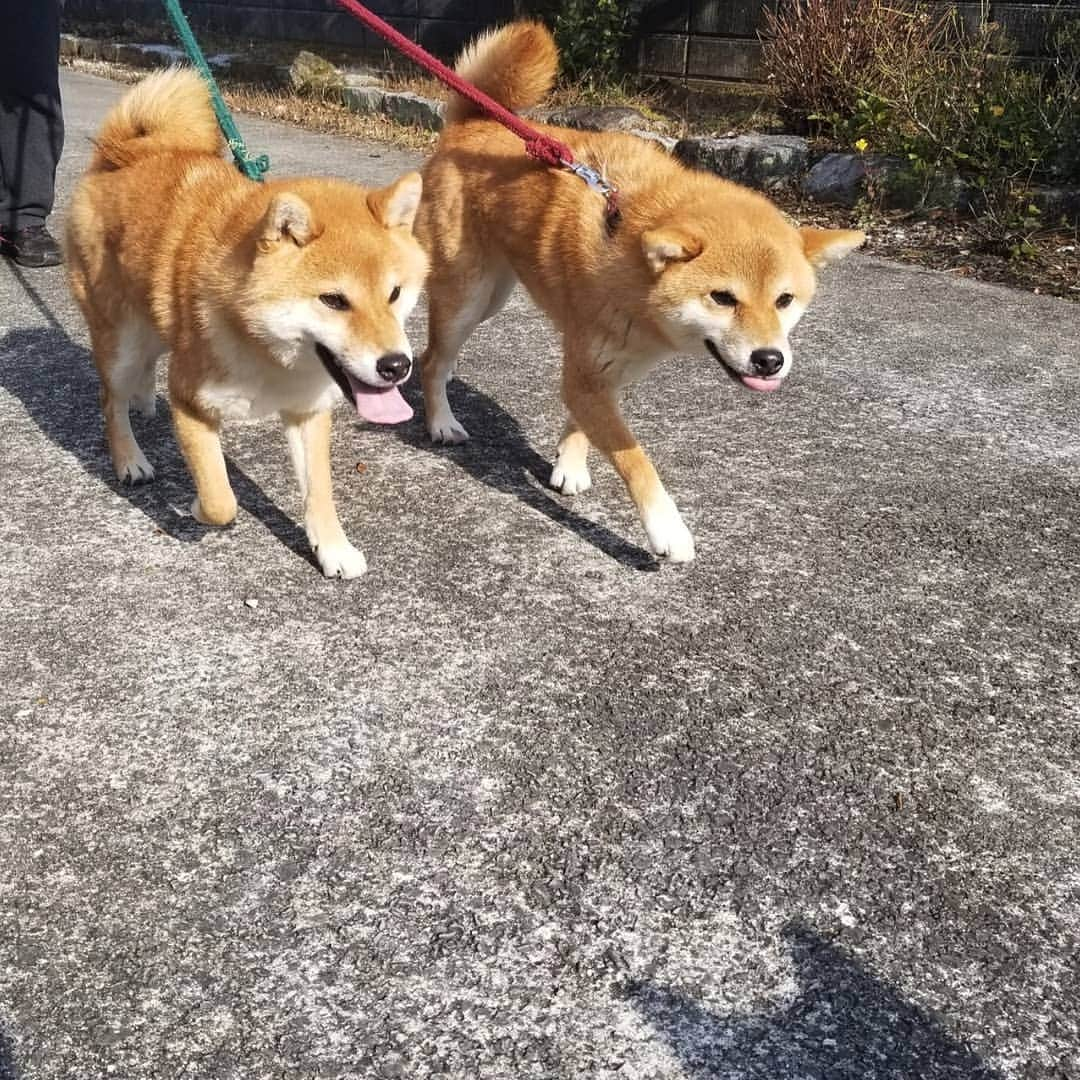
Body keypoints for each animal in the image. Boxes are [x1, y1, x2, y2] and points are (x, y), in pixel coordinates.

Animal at [64, 68, 429, 578]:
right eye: (334, 300)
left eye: (394, 294)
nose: (396, 366)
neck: (269, 353)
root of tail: (118, 156)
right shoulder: (190, 401)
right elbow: (222, 500)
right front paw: (195, 509)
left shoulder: (308, 410)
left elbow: (320, 493)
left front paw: (333, 549)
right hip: (119, 338)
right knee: (109, 398)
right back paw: (130, 459)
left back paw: (143, 399)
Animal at [416, 23, 864, 565]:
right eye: (723, 298)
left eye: (784, 301)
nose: (769, 359)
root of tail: (472, 125)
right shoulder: (590, 369)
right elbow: (635, 459)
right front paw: (666, 528)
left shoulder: (607, 370)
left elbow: (583, 422)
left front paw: (570, 464)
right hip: (468, 297)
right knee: (431, 358)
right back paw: (442, 421)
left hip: (493, 296)